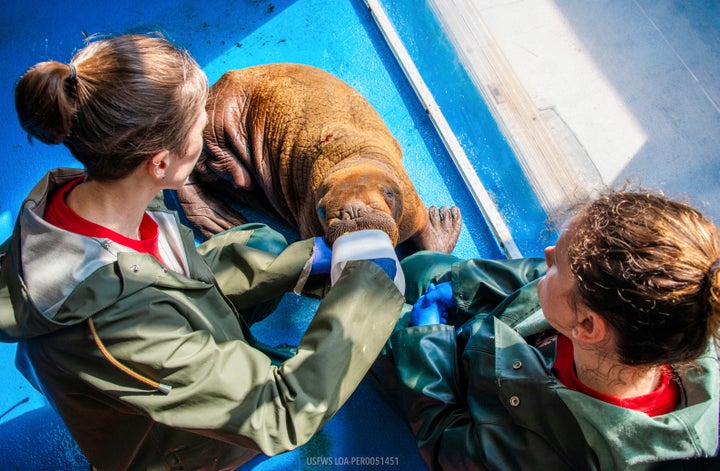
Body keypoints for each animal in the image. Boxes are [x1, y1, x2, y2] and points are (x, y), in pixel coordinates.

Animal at [177, 64, 464, 254]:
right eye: (322, 210)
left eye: (389, 195)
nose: (352, 212)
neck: (352, 155)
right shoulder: (309, 224)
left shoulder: (411, 205)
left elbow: (428, 238)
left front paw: (443, 222)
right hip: (216, 120)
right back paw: (221, 216)